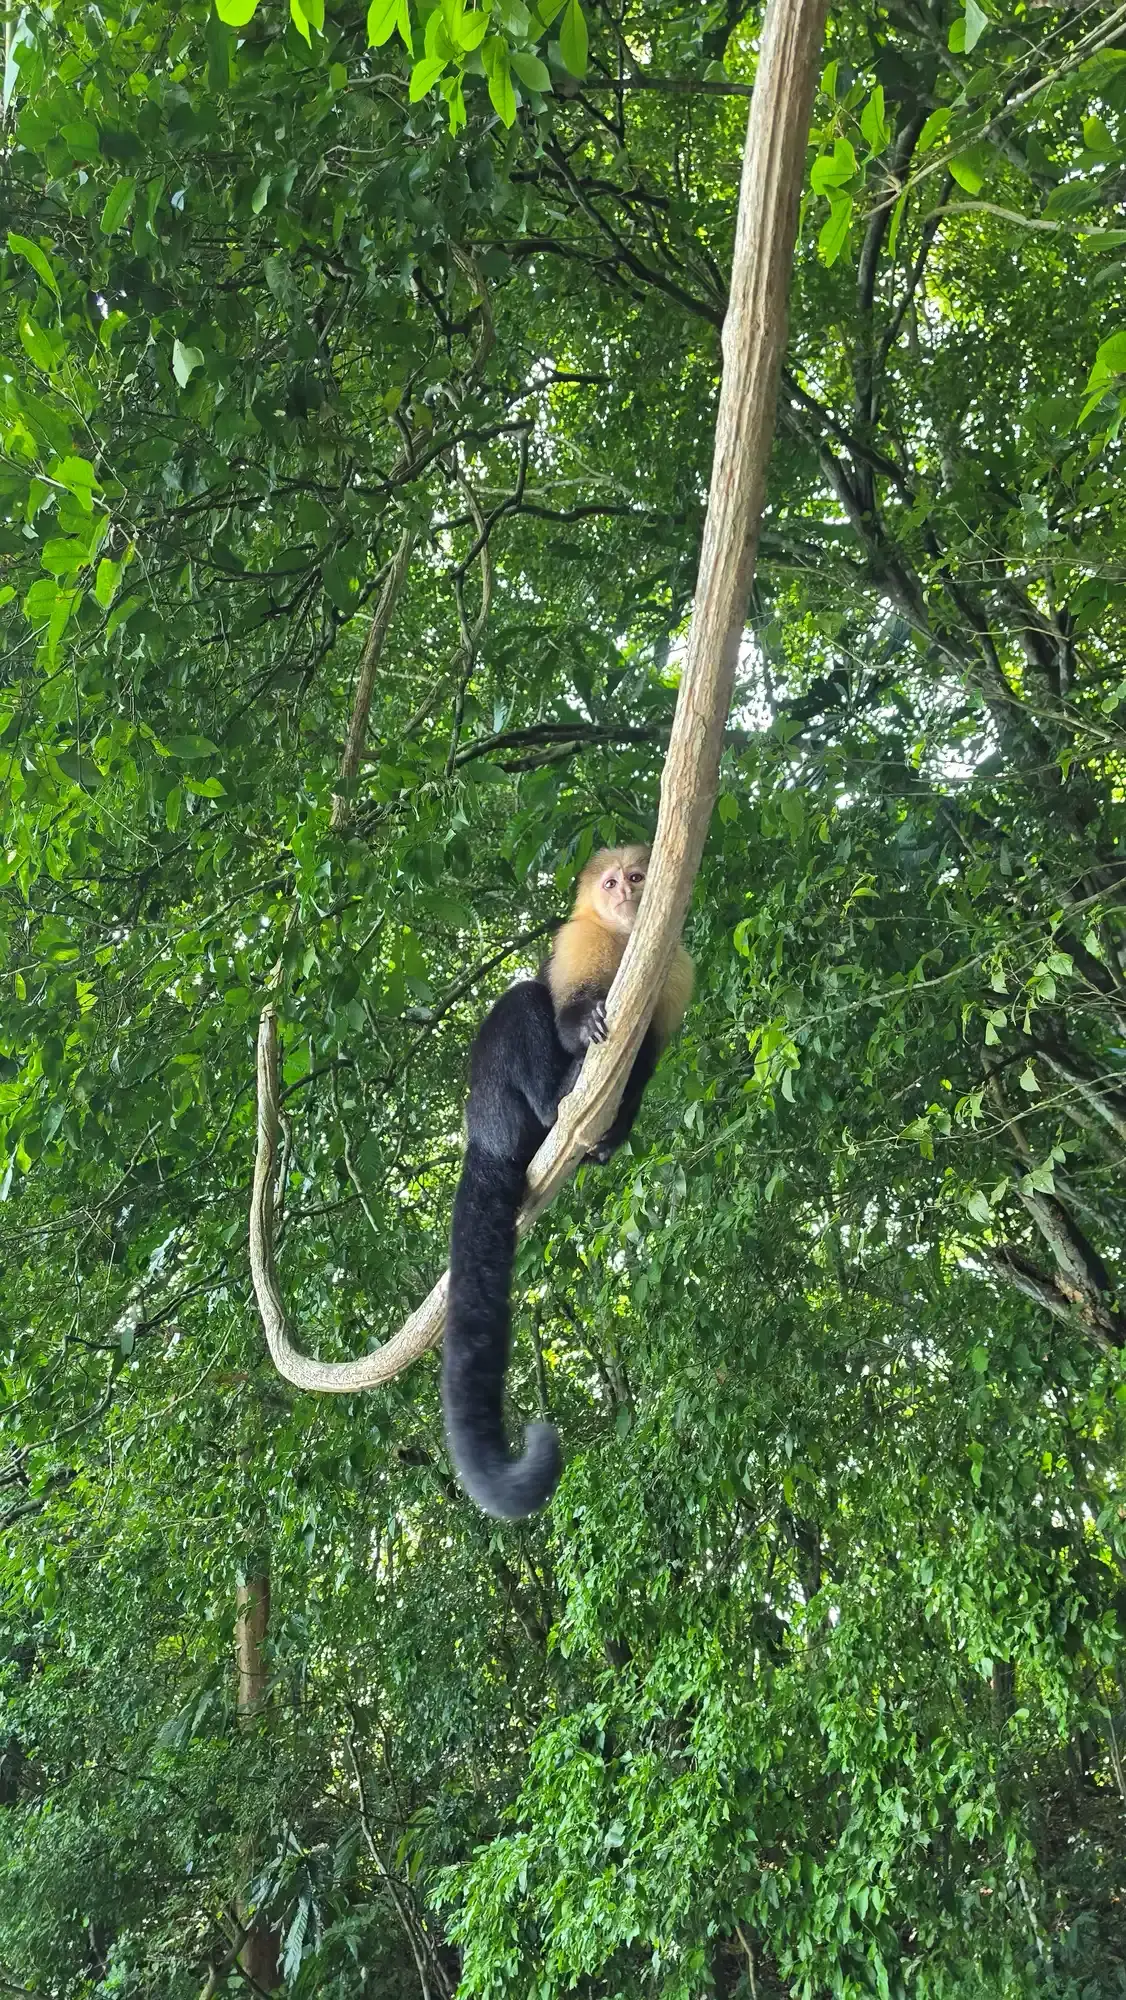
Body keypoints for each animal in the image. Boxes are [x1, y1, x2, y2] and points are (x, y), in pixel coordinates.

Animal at [442, 844, 694, 1520]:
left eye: (638, 876)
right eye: (610, 883)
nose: (628, 892)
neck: (628, 939)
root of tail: (482, 1136)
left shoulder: (677, 967)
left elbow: (649, 1058)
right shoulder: (579, 940)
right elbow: (559, 1007)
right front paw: (583, 1026)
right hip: (500, 1108)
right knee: (521, 1002)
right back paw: (559, 1097)